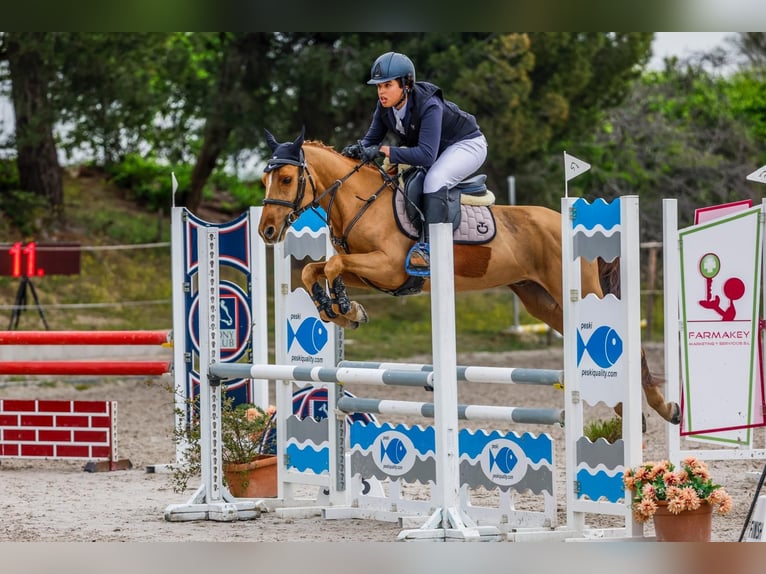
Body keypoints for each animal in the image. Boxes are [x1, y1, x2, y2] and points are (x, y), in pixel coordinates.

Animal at [258, 128, 680, 425]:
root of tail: (568, 221)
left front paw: (344, 308)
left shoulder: (388, 266)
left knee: (634, 346)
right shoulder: (375, 273)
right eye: (266, 180)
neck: (362, 201)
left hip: (577, 290)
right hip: (541, 301)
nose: (266, 231)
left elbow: (331, 267)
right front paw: (341, 309)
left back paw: (662, 411)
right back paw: (635, 413)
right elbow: (316, 269)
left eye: (286, 179)